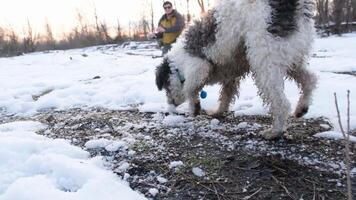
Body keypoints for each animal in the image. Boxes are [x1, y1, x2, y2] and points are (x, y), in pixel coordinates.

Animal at [156, 0, 318, 140]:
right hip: (291, 59)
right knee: (310, 79)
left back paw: (275, 131)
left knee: (281, 102)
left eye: (165, 87)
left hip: (265, 61)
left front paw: (194, 107)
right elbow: (226, 94)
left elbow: (190, 88)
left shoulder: (199, 65)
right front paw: (218, 111)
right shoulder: (230, 74)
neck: (178, 63)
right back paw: (301, 108)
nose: (170, 105)